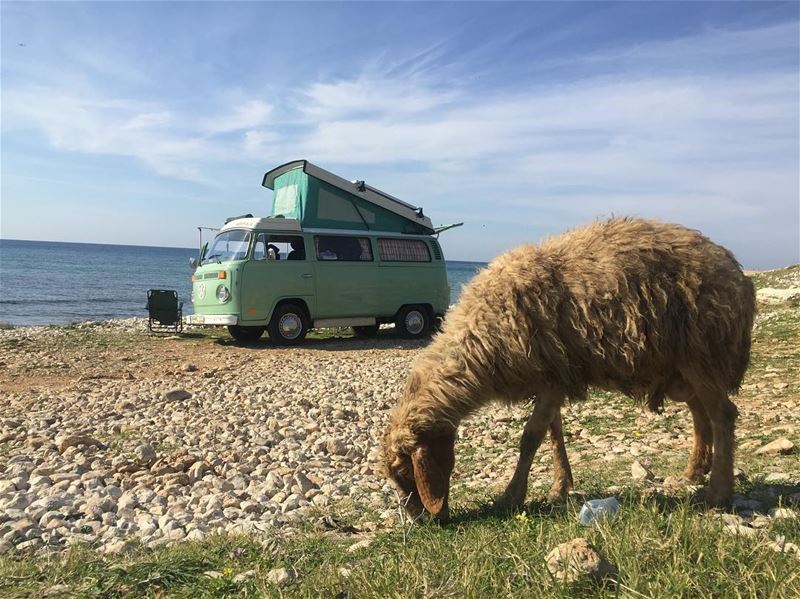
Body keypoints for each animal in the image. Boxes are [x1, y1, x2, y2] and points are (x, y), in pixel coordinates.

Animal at [382, 217, 756, 520]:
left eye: (405, 472)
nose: (420, 520)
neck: (480, 340)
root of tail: (736, 269)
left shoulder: (552, 378)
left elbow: (530, 437)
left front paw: (511, 497)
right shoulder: (552, 378)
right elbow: (554, 433)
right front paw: (560, 486)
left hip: (701, 352)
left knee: (722, 414)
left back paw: (718, 493)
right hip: (681, 368)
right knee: (700, 412)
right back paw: (695, 471)